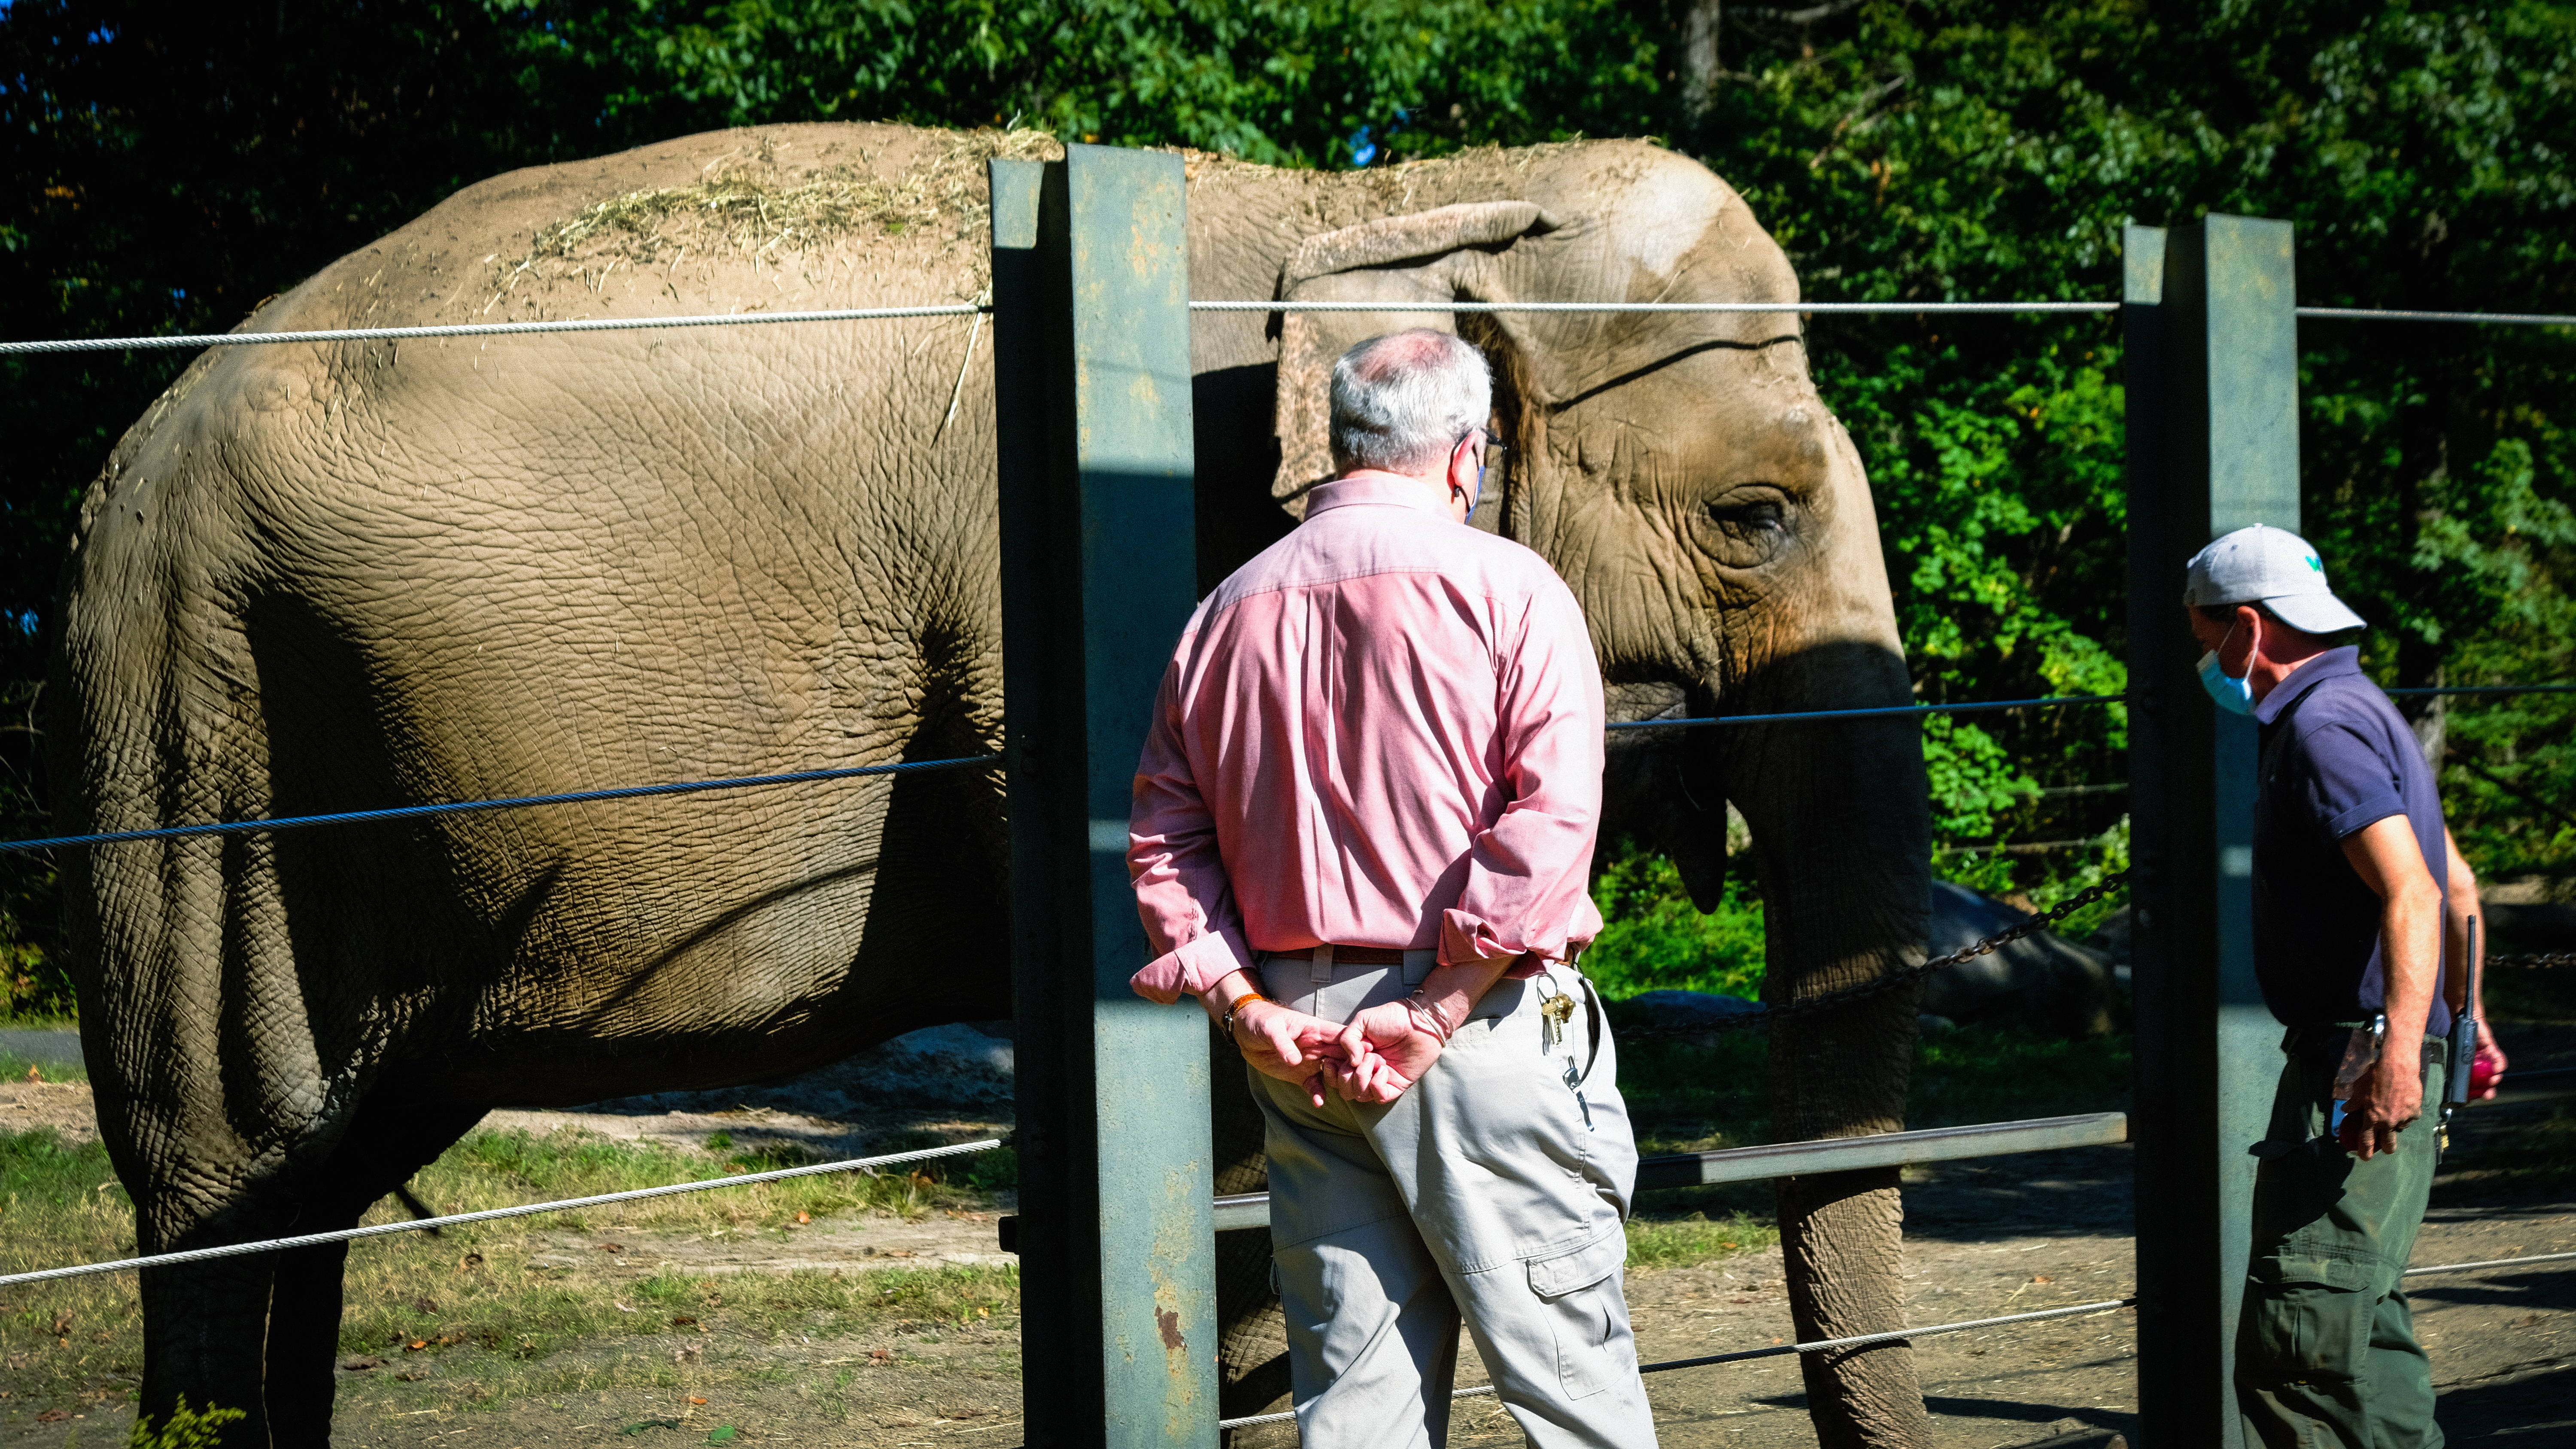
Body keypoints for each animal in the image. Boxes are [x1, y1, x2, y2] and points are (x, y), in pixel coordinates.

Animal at [47, 123, 1931, 1446]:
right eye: (1756, 516)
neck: (1402, 201)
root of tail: (138, 438)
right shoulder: (1125, 602)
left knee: (318, 1187)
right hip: (196, 727)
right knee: (223, 1181)